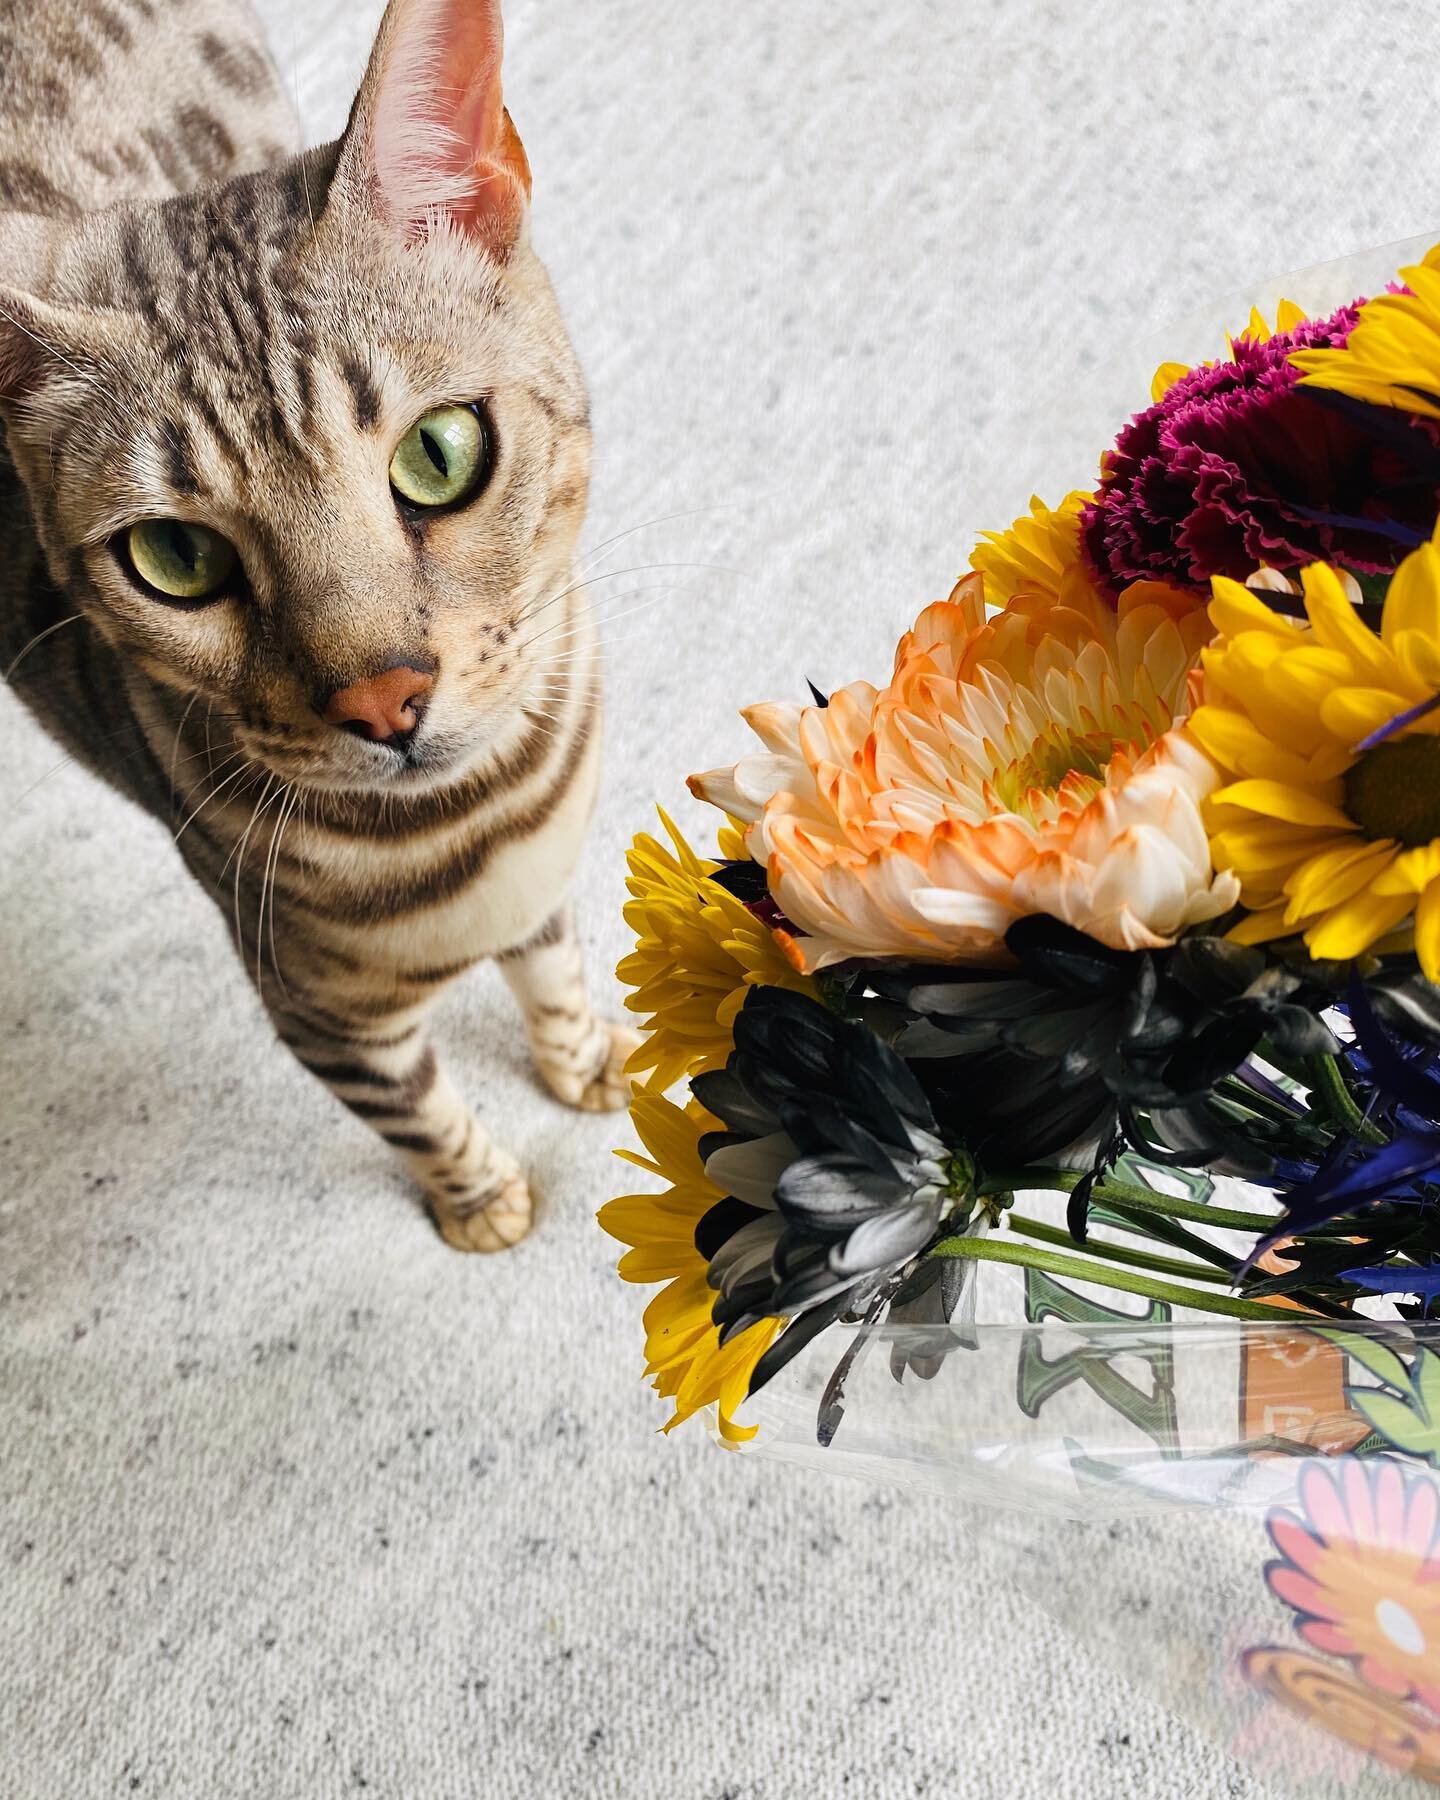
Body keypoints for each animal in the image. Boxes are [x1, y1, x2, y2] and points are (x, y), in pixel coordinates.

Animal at [0, 0, 637, 1260]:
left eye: (440, 452)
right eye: (177, 559)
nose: (382, 697)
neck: (479, 827)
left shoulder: (543, 880)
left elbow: (554, 968)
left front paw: (583, 1056)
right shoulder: (321, 1017)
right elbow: (423, 1114)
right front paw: (479, 1201)